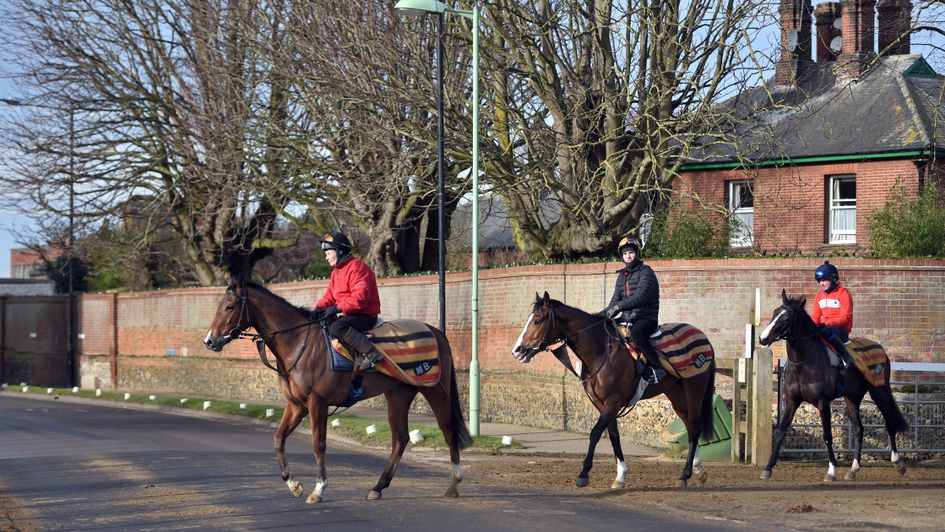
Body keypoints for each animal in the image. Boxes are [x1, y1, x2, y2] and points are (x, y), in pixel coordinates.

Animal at [203, 278, 472, 503]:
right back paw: (378, 487)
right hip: (397, 395)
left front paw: (319, 488)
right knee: (400, 439)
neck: (299, 341)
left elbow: (318, 445)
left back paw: (454, 484)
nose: (210, 340)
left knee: (448, 430)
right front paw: (294, 484)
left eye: (229, 306)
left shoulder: (317, 403)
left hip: (434, 390)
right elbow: (279, 439)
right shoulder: (296, 405)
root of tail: (435, 331)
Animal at [511, 292, 716, 488]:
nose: (517, 350)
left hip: (694, 391)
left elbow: (595, 433)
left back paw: (685, 474)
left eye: (538, 320)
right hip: (677, 396)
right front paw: (620, 476)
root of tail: (702, 337)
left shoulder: (614, 401)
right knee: (690, 427)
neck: (602, 352)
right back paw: (697, 470)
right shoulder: (602, 404)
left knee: (695, 429)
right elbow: (613, 435)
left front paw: (584, 473)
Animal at [758, 290, 909, 481]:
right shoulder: (791, 401)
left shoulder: (823, 402)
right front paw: (768, 468)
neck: (804, 362)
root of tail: (881, 350)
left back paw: (898, 463)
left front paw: (831, 471)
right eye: (774, 313)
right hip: (852, 398)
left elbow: (827, 435)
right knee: (859, 429)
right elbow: (781, 432)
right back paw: (853, 469)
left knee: (890, 423)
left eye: (786, 318)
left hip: (879, 392)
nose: (763, 338)